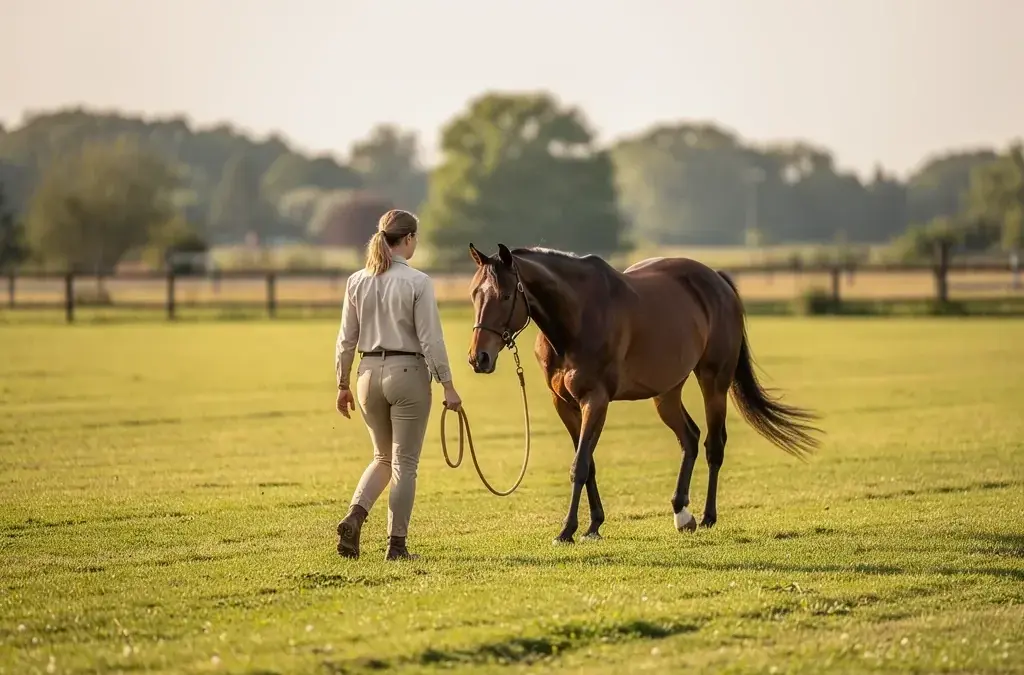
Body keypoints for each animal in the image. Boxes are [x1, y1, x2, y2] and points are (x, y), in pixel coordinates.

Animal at [466, 242, 823, 544]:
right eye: (473, 295)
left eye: (505, 295)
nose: (478, 358)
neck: (575, 319)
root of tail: (717, 280)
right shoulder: (564, 405)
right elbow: (588, 463)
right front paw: (593, 525)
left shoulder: (595, 400)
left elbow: (579, 464)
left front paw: (567, 530)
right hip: (666, 393)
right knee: (690, 438)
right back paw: (681, 512)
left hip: (714, 382)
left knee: (713, 444)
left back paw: (707, 516)